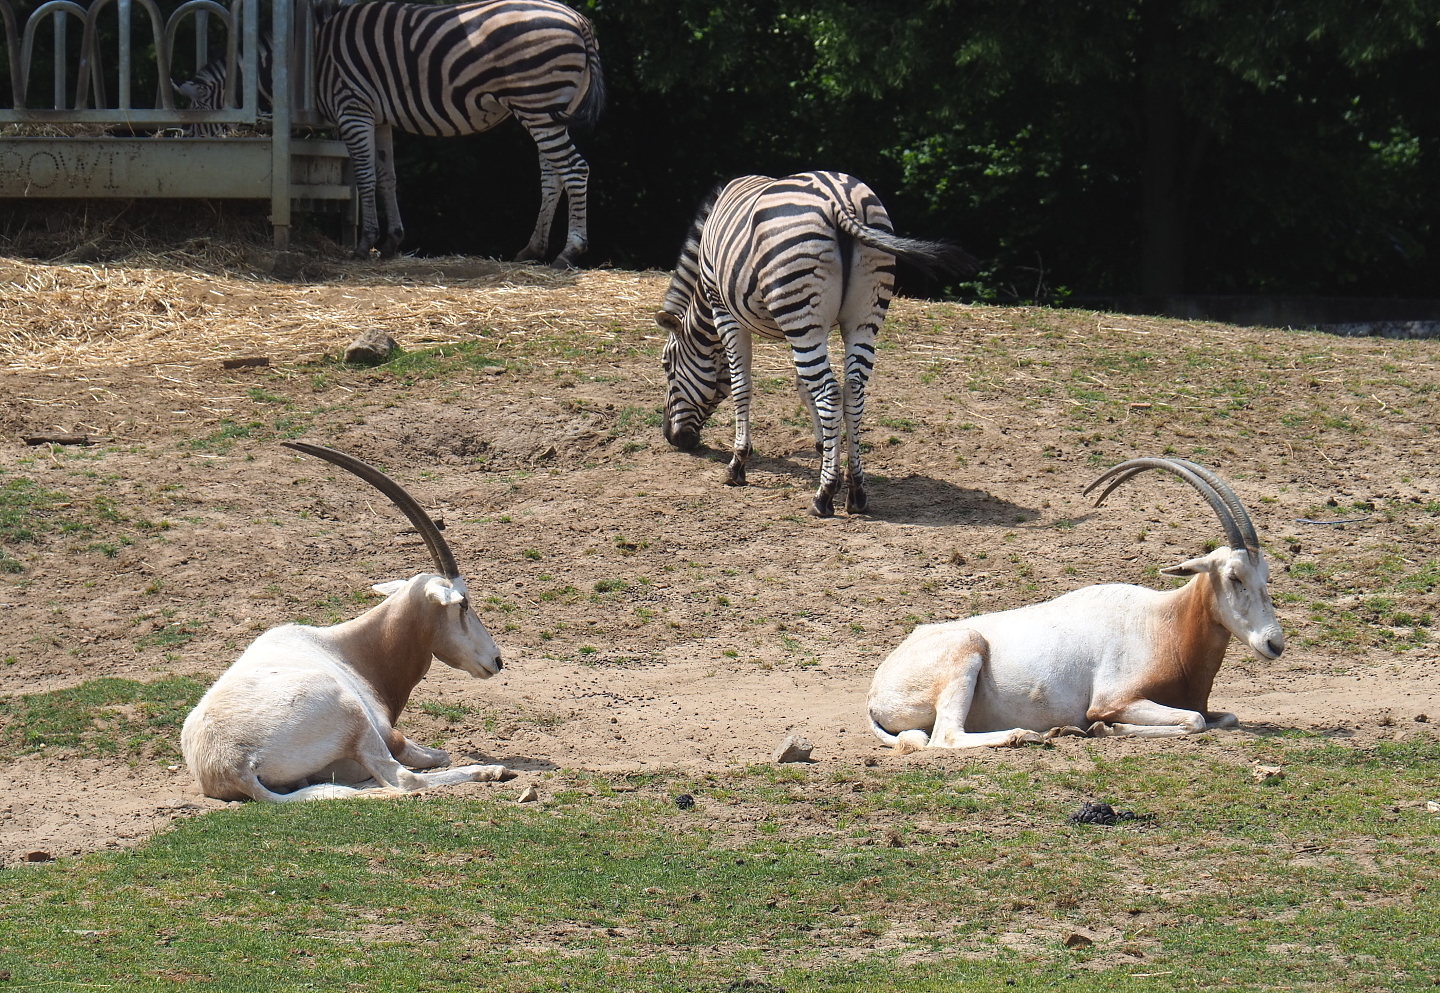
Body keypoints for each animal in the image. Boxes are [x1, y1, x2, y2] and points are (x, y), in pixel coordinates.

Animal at [176, 0, 604, 266]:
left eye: (192, 126)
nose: (201, 197)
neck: (310, 59)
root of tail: (578, 18)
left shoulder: (353, 109)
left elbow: (365, 177)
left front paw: (365, 242)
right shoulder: (378, 117)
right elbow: (387, 177)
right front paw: (392, 241)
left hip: (537, 102)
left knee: (575, 169)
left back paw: (569, 253)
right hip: (543, 108)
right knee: (553, 175)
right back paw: (531, 250)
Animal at [656, 171, 976, 518]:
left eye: (667, 366)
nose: (672, 438)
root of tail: (840, 200)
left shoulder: (725, 313)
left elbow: (743, 386)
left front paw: (737, 463)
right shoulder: (806, 328)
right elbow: (802, 387)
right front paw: (825, 447)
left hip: (802, 316)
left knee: (831, 393)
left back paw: (823, 496)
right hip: (860, 319)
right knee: (853, 391)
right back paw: (856, 491)